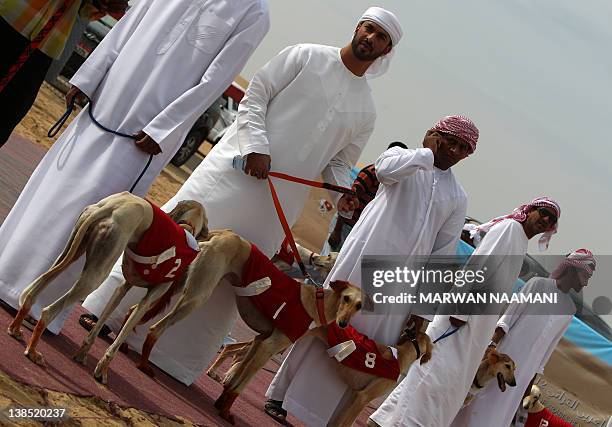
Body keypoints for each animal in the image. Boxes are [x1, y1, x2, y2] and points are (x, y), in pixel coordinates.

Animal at [6, 194, 208, 384]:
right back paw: (33, 351)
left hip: (71, 250)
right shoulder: (145, 303)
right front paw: (102, 371)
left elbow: (99, 325)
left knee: (33, 292)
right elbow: (118, 342)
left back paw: (15, 329)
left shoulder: (121, 288)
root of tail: (112, 206)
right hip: (96, 274)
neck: (186, 227)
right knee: (48, 311)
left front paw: (82, 355)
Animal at [133, 229, 364, 422]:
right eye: (346, 299)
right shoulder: (268, 347)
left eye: (359, 306)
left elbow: (235, 379)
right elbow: (241, 385)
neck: (316, 302)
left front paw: (221, 405)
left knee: (137, 308)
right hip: (197, 296)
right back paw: (144, 365)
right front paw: (225, 413)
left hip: (181, 283)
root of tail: (222, 234)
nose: (343, 324)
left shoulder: (259, 341)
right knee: (155, 329)